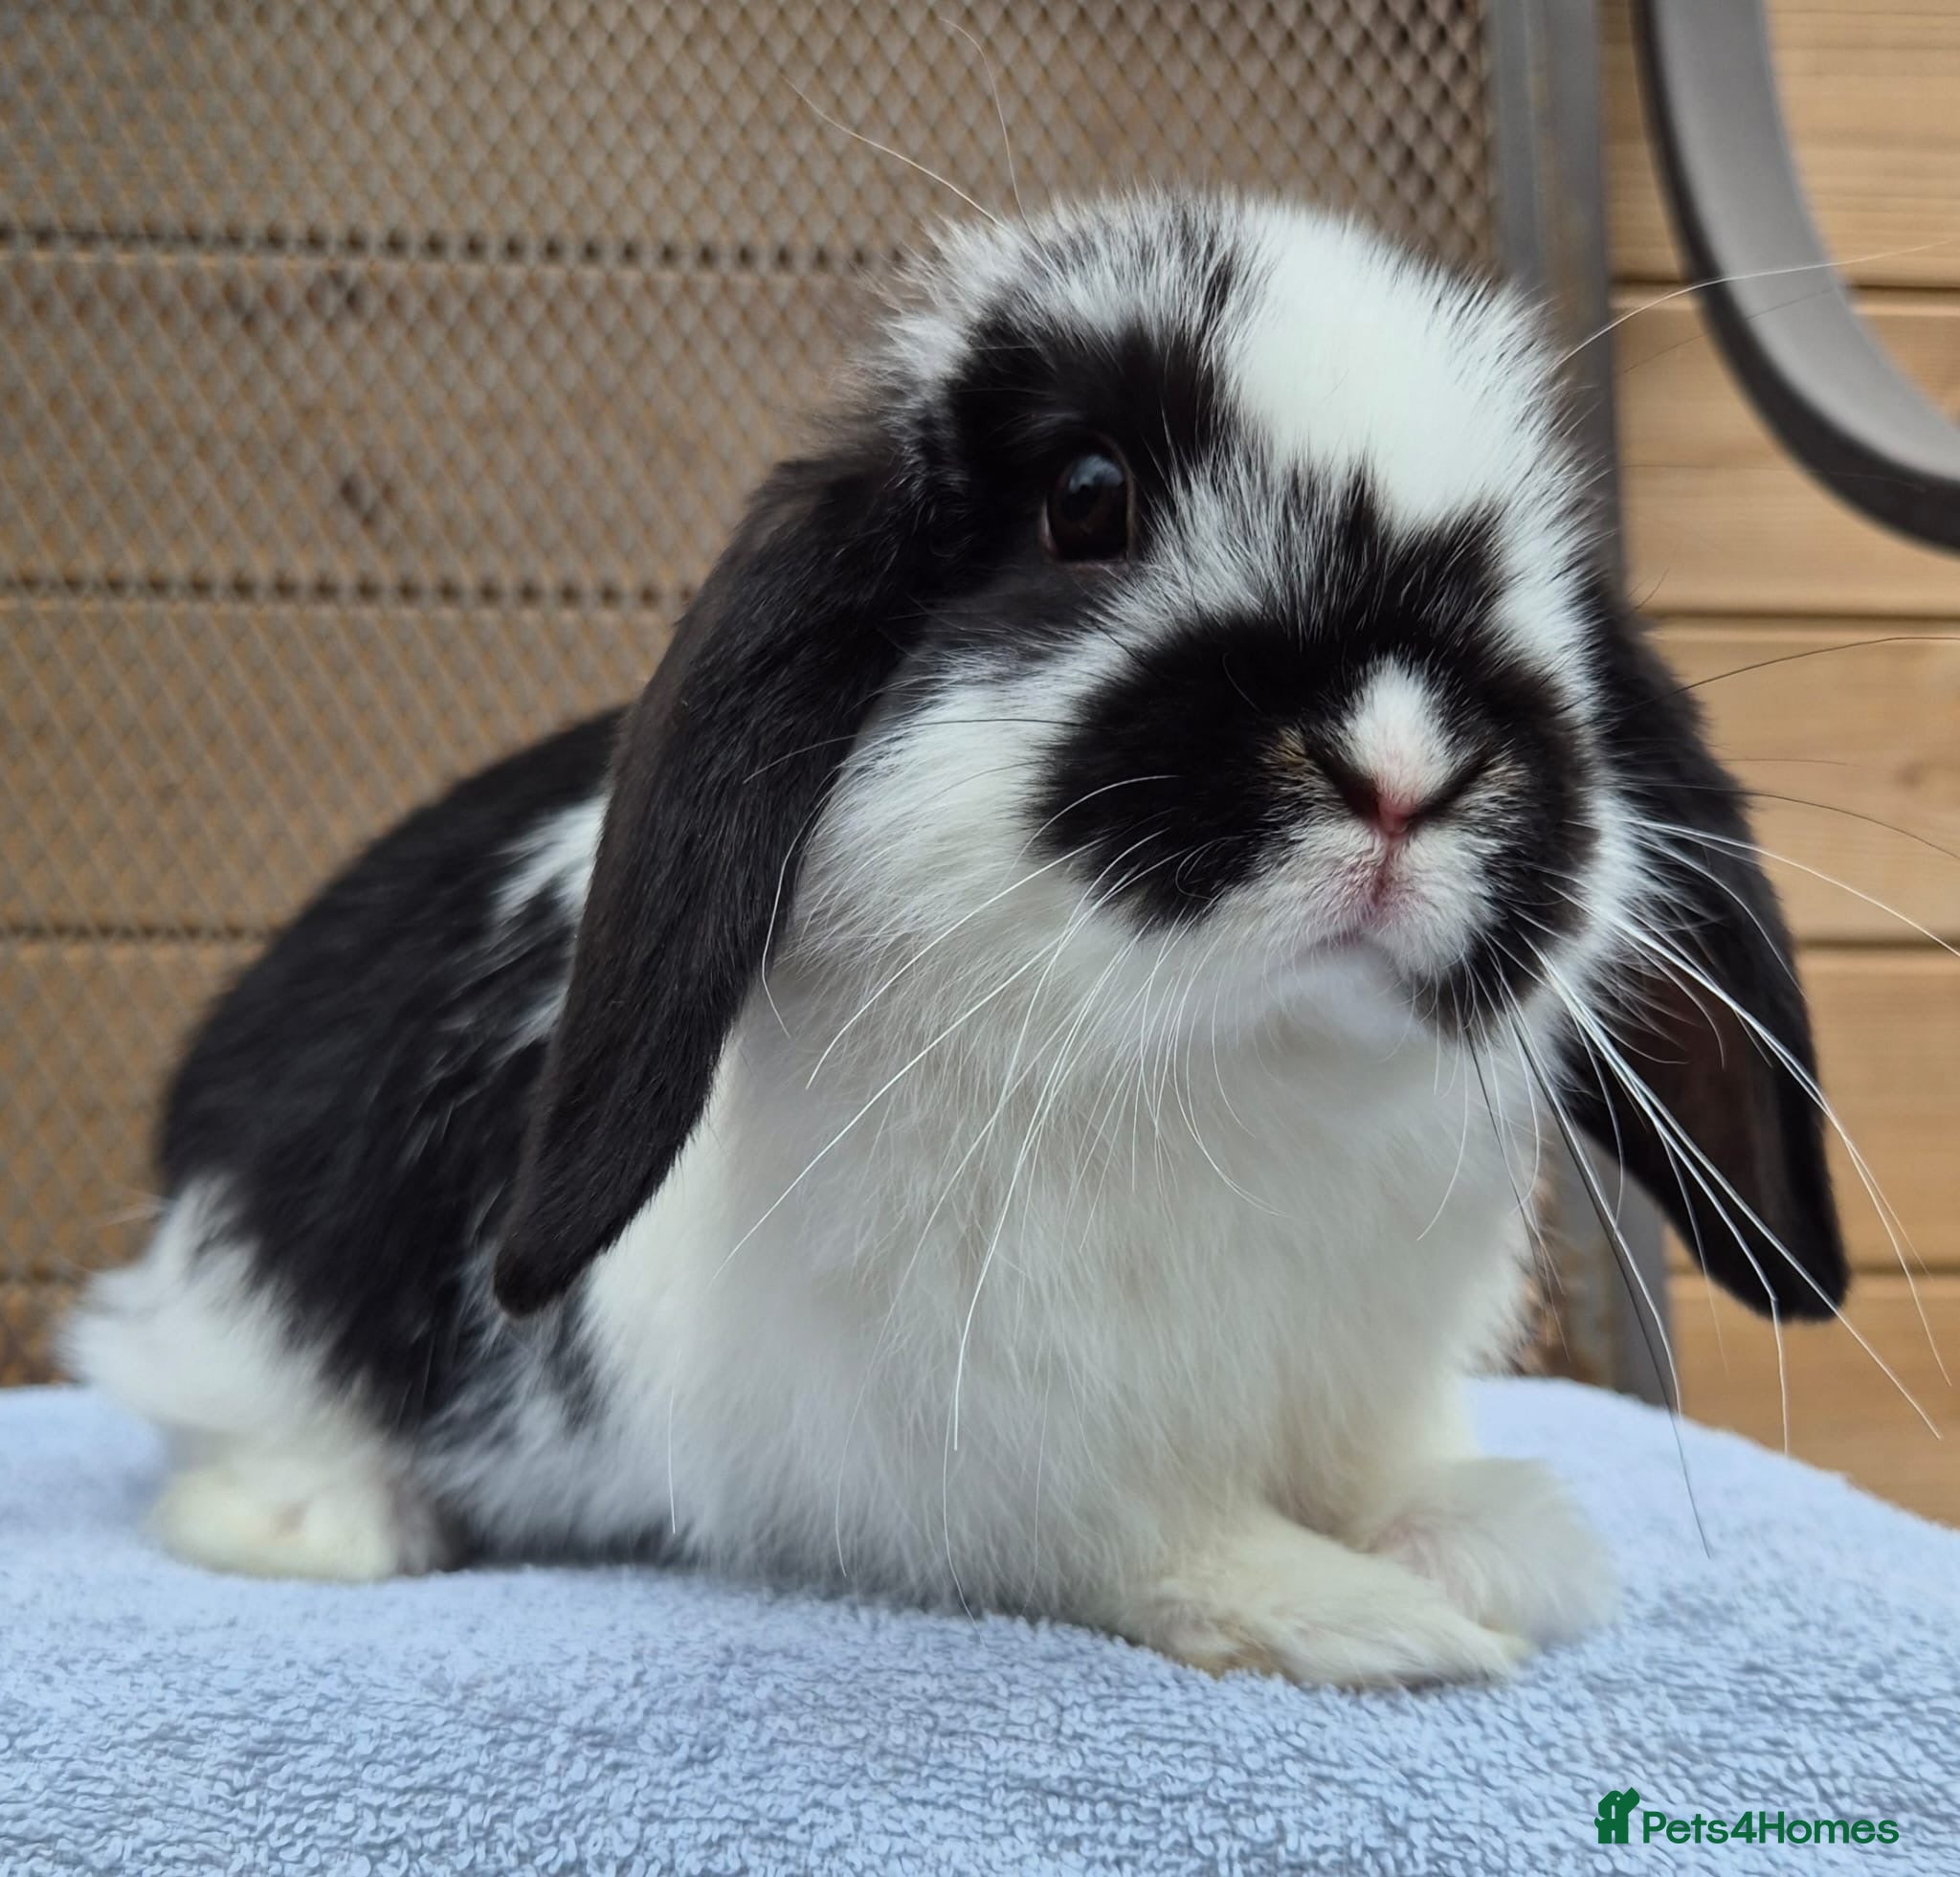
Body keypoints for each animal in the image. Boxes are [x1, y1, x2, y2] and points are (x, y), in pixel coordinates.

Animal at [66, 193, 1846, 1688]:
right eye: (1087, 500)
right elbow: (1149, 1539)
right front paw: (1369, 1619)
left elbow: (1373, 1474)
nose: (1406, 766)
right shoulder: (967, 1460)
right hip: (248, 1319)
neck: (1236, 1063)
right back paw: (326, 1524)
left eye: (1548, 569)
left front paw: (1479, 1538)